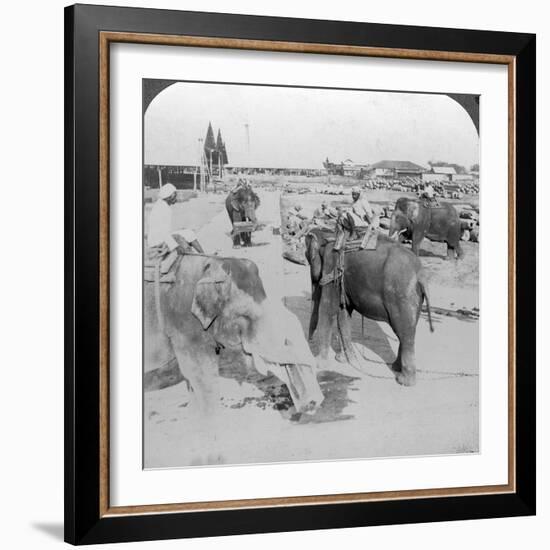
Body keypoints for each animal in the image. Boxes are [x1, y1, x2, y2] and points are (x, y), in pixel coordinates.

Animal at [144, 254, 326, 458]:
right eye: (245, 316)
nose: (314, 402)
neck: (210, 265)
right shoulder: (185, 327)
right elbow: (202, 377)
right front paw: (213, 447)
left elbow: (192, 380)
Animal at [304, 229, 434, 388]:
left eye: (307, 256)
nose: (309, 340)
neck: (330, 235)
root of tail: (420, 274)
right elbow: (343, 313)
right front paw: (346, 360)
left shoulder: (332, 271)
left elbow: (328, 309)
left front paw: (319, 364)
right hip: (414, 300)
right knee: (405, 331)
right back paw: (395, 368)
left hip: (402, 296)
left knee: (405, 332)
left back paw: (404, 381)